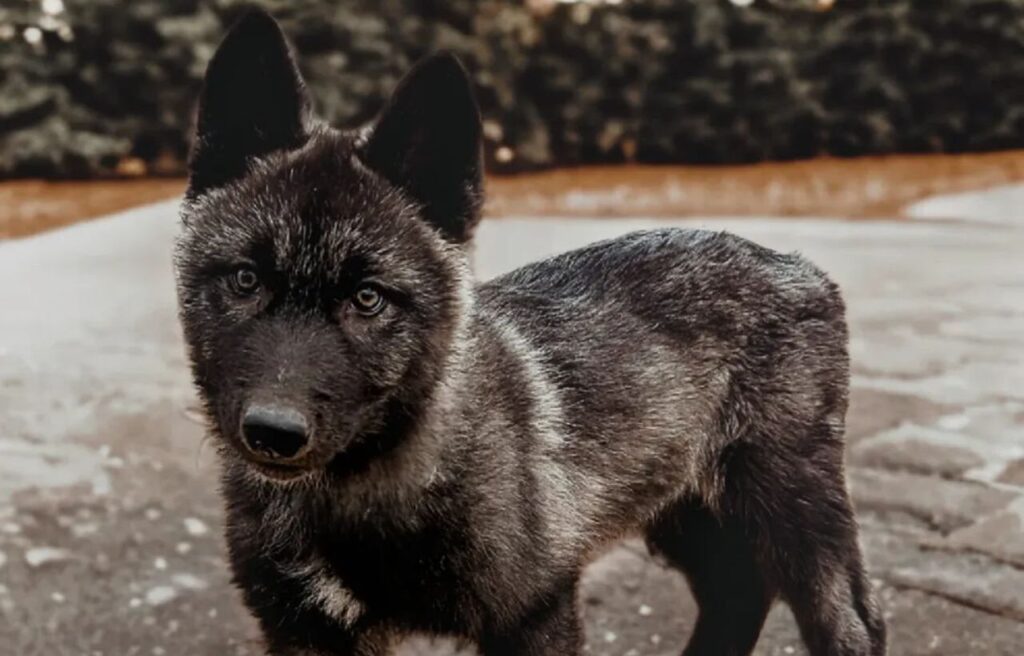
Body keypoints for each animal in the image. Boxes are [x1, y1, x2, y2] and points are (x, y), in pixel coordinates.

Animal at [174, 9, 886, 656]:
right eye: (244, 280)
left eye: (368, 298)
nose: (273, 432)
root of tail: (803, 268)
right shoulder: (304, 633)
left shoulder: (533, 613)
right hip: (684, 510)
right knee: (738, 596)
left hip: (792, 511)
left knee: (853, 620)